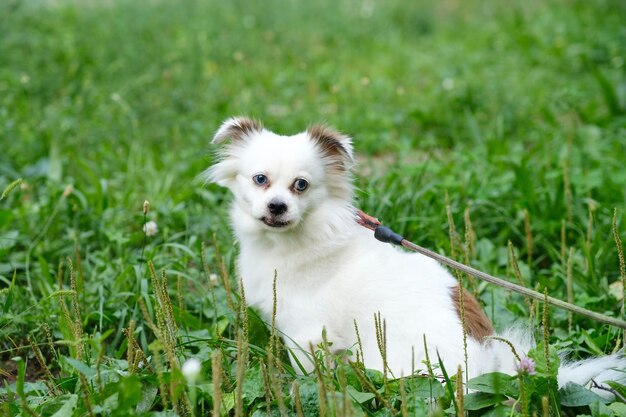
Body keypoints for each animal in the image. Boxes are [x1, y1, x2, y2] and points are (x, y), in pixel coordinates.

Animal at [206, 116, 624, 386]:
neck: (292, 240)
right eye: (260, 180)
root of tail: (489, 366)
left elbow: (309, 375)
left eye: (301, 185)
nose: (277, 206)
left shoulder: (307, 334)